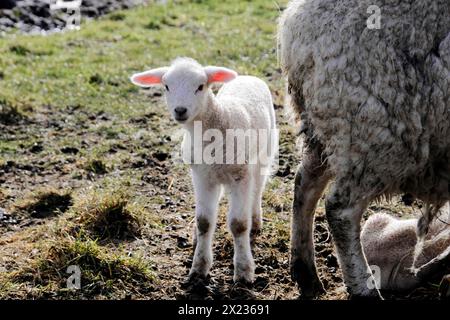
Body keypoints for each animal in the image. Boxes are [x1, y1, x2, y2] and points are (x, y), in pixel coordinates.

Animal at [130, 57, 278, 282]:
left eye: (200, 86)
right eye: (166, 86)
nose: (180, 110)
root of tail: (247, 76)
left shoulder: (240, 175)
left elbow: (239, 224)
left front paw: (243, 271)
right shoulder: (202, 175)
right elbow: (205, 222)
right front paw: (199, 268)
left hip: (264, 154)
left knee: (258, 189)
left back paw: (256, 220)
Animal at [278, 0, 450, 298]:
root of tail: (298, 24)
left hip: (326, 128)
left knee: (305, 182)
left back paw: (305, 271)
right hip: (376, 132)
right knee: (340, 210)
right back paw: (364, 288)